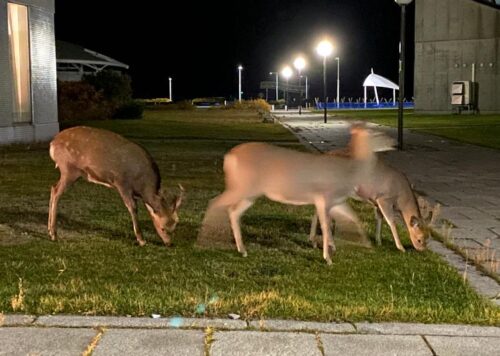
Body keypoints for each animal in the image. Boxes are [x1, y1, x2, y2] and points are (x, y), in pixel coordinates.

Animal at [47, 126, 183, 246]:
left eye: (174, 227)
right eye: (163, 227)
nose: (169, 243)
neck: (141, 184)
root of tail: (53, 144)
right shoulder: (122, 183)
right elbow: (133, 207)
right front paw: (141, 240)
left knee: (53, 188)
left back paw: (50, 230)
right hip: (69, 169)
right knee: (56, 191)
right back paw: (54, 234)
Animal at [200, 122, 394, 264]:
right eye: (375, 132)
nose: (394, 142)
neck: (348, 171)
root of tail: (228, 157)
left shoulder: (336, 201)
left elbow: (352, 218)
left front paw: (365, 245)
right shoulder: (323, 197)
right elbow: (325, 225)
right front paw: (327, 258)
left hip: (250, 193)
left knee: (232, 211)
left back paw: (241, 249)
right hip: (241, 186)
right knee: (215, 203)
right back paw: (205, 243)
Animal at [308, 150, 438, 253]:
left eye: (428, 238)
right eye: (419, 239)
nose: (421, 249)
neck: (401, 198)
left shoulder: (376, 203)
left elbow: (379, 219)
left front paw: (378, 241)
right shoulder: (384, 199)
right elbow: (391, 222)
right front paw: (401, 247)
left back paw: (314, 240)